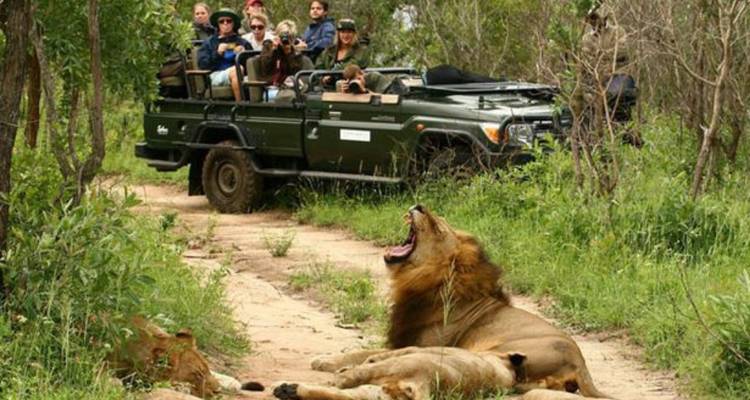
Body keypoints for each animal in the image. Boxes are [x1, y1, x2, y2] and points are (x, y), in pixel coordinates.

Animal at [272, 205, 611, 400]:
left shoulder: (418, 342)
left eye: (436, 226)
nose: (417, 205)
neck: (425, 281)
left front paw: (326, 361)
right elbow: (363, 349)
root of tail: (581, 363)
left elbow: (366, 352)